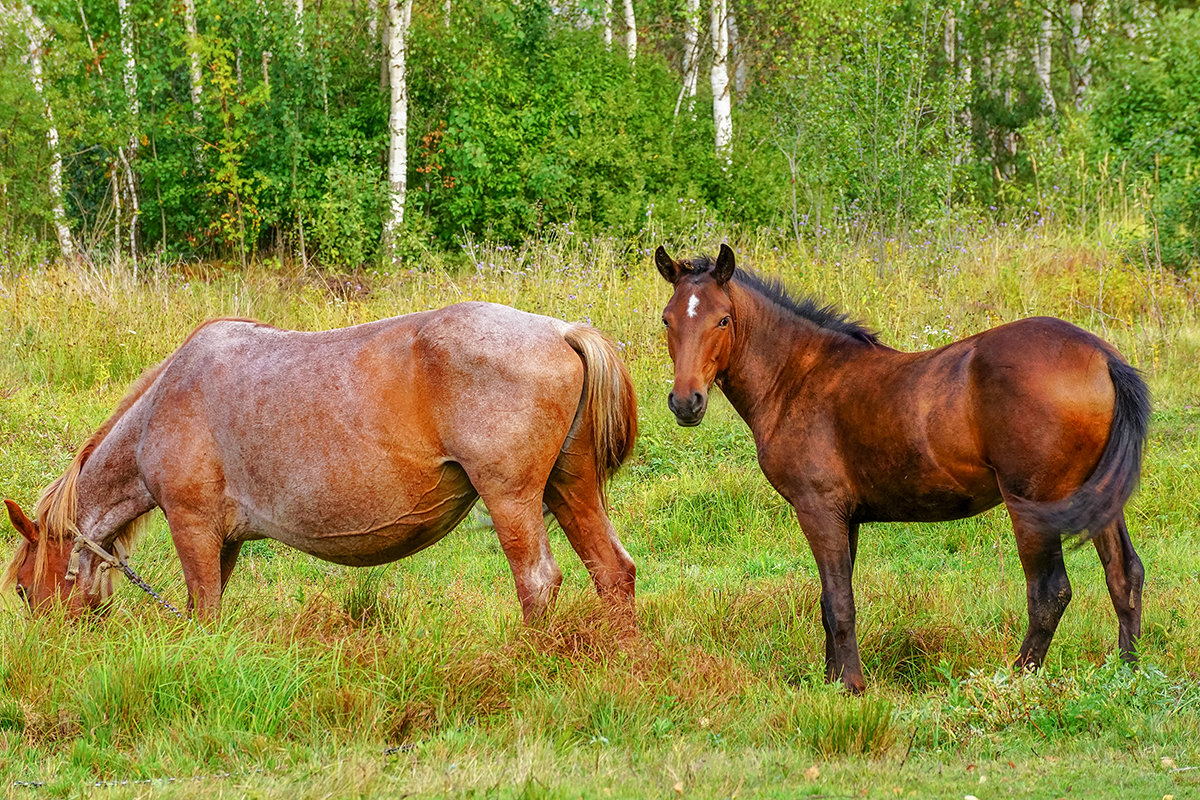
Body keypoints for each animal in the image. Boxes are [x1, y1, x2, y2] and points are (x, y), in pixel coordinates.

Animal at [2, 303, 638, 623]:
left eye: (24, 592)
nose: (52, 651)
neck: (166, 402)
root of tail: (562, 331)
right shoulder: (224, 541)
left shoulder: (193, 527)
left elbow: (203, 609)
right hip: (570, 486)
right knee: (613, 572)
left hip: (512, 499)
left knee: (538, 582)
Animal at [657, 244, 1152, 695]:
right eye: (667, 319)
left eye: (723, 320)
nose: (686, 402)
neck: (797, 377)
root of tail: (1103, 357)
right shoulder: (846, 519)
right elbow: (829, 601)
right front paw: (832, 681)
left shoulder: (817, 510)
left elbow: (840, 603)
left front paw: (852, 685)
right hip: (1097, 497)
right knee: (1124, 575)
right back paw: (1126, 675)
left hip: (1033, 505)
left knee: (1050, 592)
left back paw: (1012, 679)